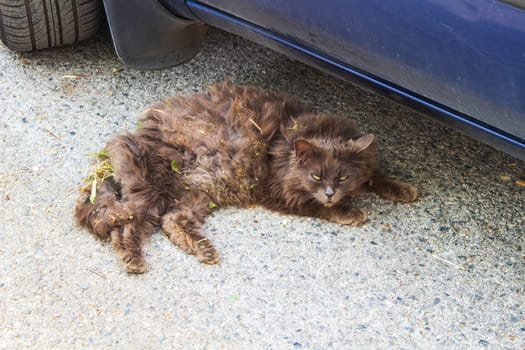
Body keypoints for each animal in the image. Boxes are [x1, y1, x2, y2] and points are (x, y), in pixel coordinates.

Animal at [73, 80, 418, 272]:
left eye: (342, 178)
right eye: (317, 177)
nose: (331, 193)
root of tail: (134, 133)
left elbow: (376, 173)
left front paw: (402, 188)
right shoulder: (276, 192)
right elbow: (315, 207)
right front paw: (349, 211)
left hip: (197, 193)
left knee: (171, 221)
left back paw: (201, 249)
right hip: (154, 190)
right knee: (125, 227)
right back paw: (135, 261)